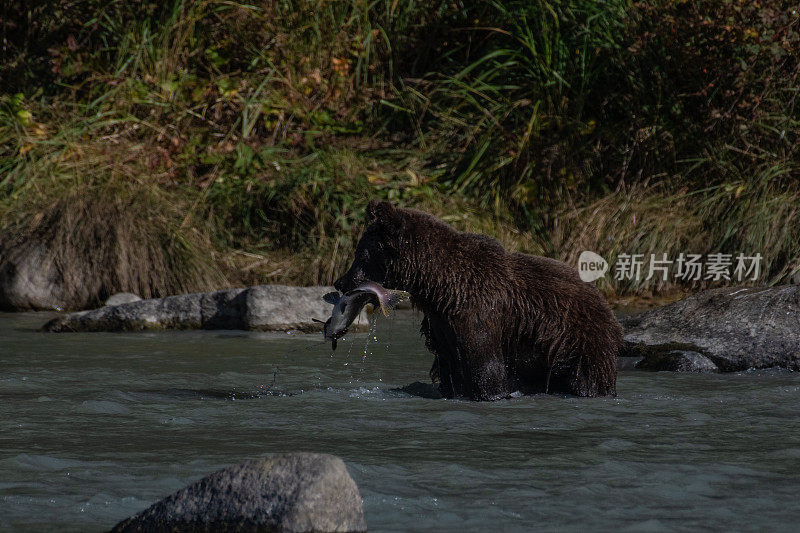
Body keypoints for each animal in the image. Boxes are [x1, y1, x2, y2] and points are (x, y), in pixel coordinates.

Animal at [334, 200, 620, 400]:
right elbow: (451, 371)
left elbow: (485, 367)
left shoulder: (478, 312)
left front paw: (493, 392)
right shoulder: (442, 327)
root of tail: (604, 302)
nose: (340, 282)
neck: (438, 287)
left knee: (589, 378)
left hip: (579, 341)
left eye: (361, 254)